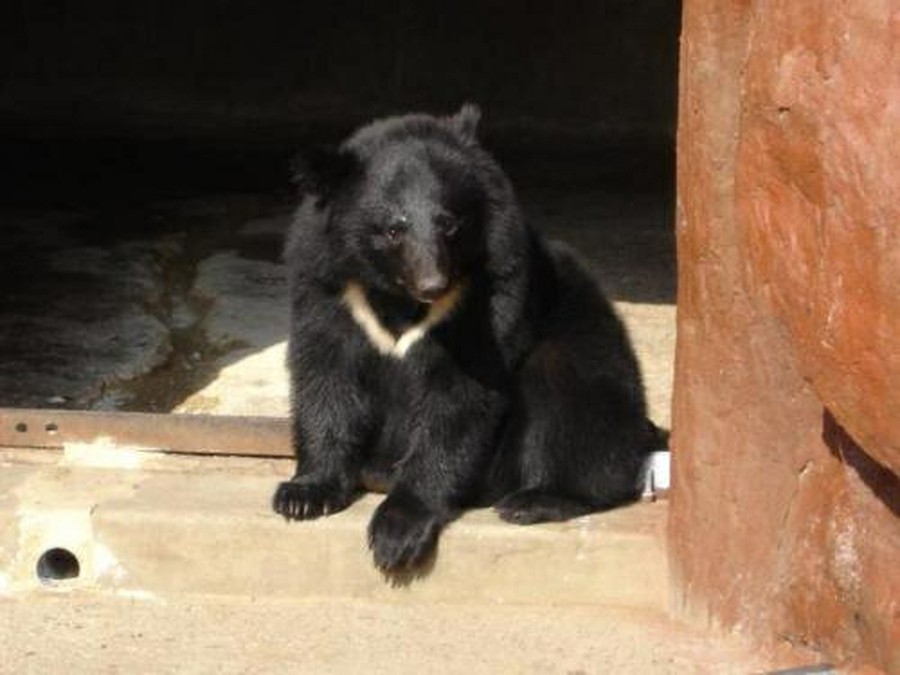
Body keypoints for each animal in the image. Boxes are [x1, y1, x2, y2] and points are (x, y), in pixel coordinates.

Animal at [273, 104, 657, 576]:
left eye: (450, 224)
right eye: (393, 229)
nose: (433, 284)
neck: (397, 295)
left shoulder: (487, 295)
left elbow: (458, 398)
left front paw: (397, 532)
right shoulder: (329, 289)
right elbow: (326, 375)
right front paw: (302, 495)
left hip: (587, 358)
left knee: (572, 400)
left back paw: (534, 500)